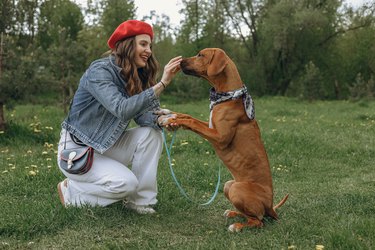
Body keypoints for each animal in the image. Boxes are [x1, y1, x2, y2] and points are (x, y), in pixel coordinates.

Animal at [163, 47, 290, 231]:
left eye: (201, 55)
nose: (180, 61)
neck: (229, 95)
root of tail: (270, 206)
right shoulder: (210, 126)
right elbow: (188, 116)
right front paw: (168, 114)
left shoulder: (219, 137)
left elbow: (192, 121)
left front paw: (170, 120)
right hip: (228, 185)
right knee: (251, 215)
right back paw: (233, 213)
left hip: (237, 188)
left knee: (258, 221)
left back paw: (237, 226)